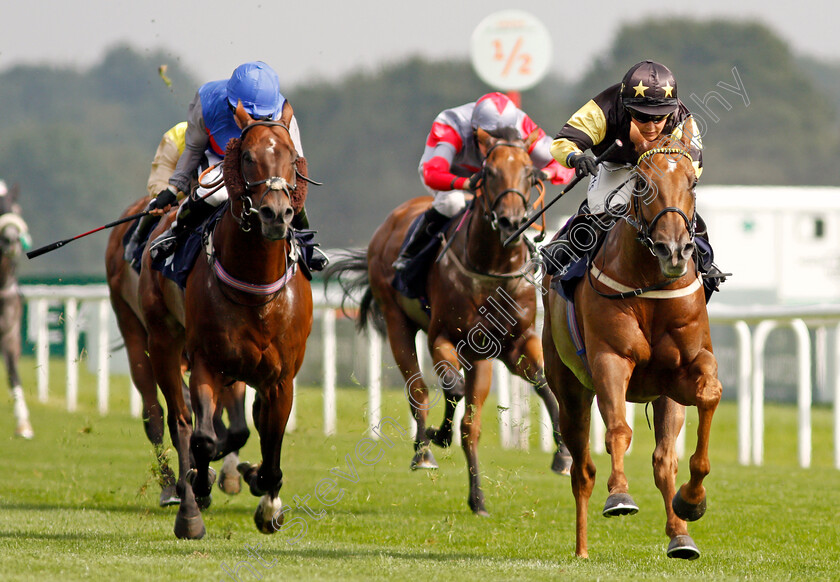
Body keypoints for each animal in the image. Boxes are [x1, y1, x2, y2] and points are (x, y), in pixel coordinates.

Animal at [139, 101, 314, 544]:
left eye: (292, 157)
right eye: (248, 156)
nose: (276, 214)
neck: (256, 289)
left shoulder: (280, 377)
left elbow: (271, 440)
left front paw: (268, 501)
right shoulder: (207, 361)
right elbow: (203, 437)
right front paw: (200, 484)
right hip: (163, 340)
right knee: (182, 422)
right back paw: (190, 506)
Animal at [326, 130, 572, 516]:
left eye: (530, 174)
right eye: (489, 172)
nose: (511, 221)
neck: (491, 268)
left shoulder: (515, 342)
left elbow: (542, 385)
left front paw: (561, 456)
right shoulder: (442, 337)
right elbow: (452, 391)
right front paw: (438, 436)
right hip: (397, 323)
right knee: (418, 390)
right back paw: (424, 450)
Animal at [540, 132, 724, 560]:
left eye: (693, 183)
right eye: (641, 183)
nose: (673, 250)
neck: (650, 283)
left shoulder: (685, 369)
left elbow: (709, 395)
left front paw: (693, 501)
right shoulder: (610, 359)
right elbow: (618, 431)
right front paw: (620, 496)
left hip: (664, 397)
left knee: (663, 461)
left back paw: (680, 536)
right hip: (569, 389)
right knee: (582, 469)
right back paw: (582, 548)